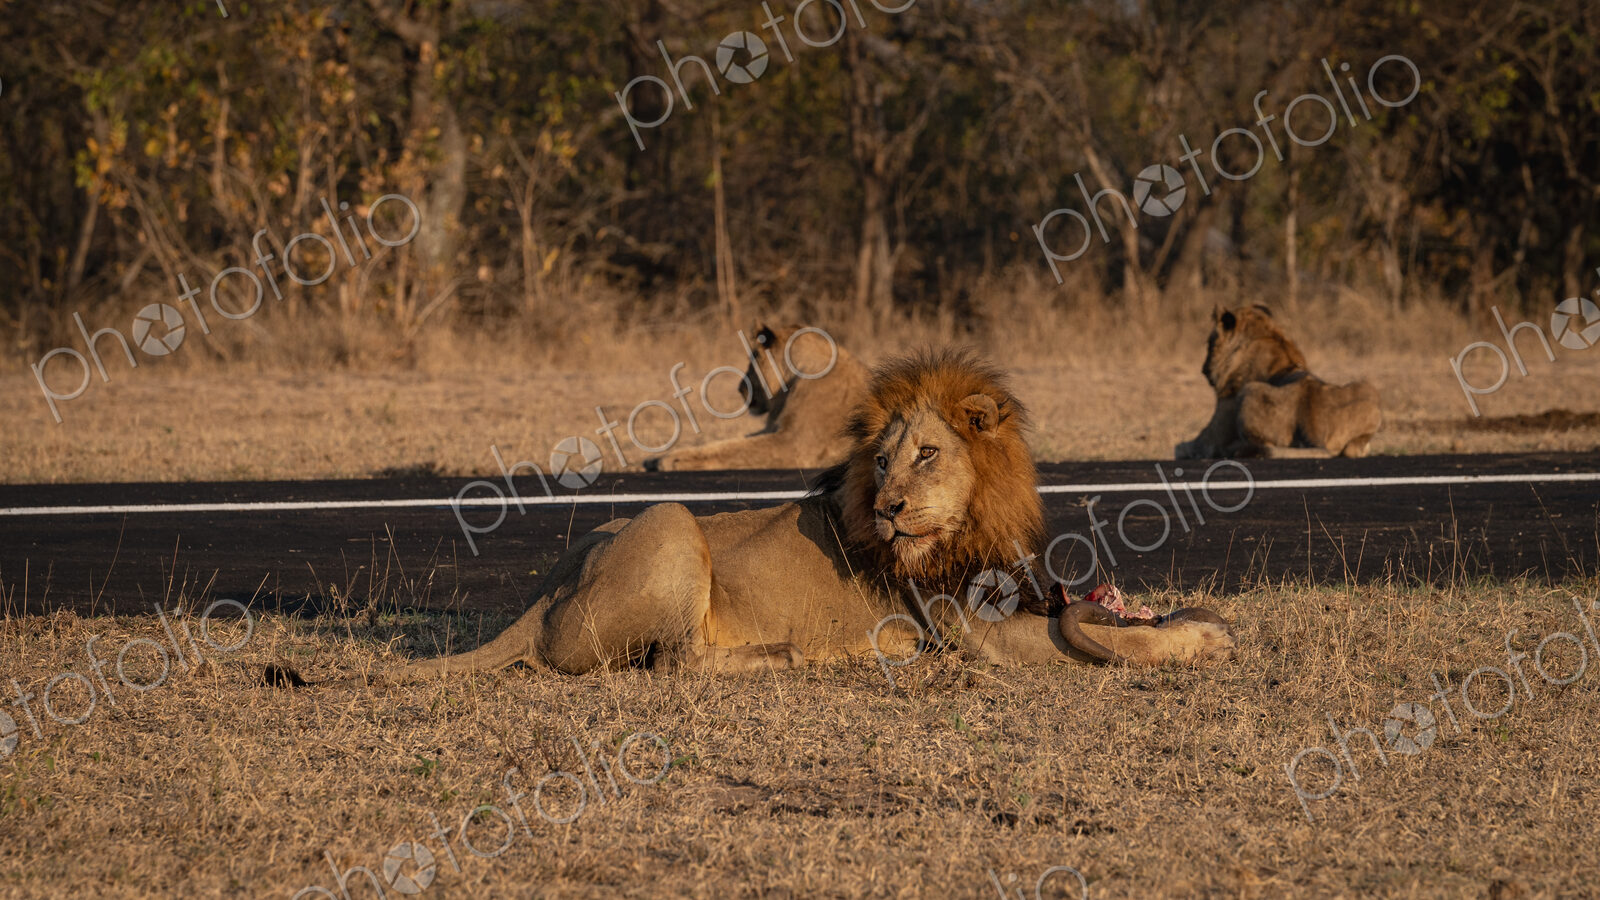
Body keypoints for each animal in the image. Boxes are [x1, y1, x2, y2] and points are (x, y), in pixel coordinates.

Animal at [364, 350, 1236, 680]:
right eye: (879, 461)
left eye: (926, 454)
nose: (886, 510)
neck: (977, 516)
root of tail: (547, 587)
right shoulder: (975, 632)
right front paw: (1205, 638)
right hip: (671, 522)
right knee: (673, 663)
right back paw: (781, 654)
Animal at [642, 324, 869, 471]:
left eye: (753, 358)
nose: (740, 388)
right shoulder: (773, 429)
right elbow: (728, 442)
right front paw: (655, 459)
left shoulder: (794, 444)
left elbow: (734, 449)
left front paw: (672, 460)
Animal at [1175, 305, 1382, 460]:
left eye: (1209, 343)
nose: (1203, 369)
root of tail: (1311, 421)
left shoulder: (1212, 436)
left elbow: (1181, 447)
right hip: (1368, 387)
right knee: (1353, 450)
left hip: (1249, 390)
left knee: (1262, 446)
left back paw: (1236, 450)